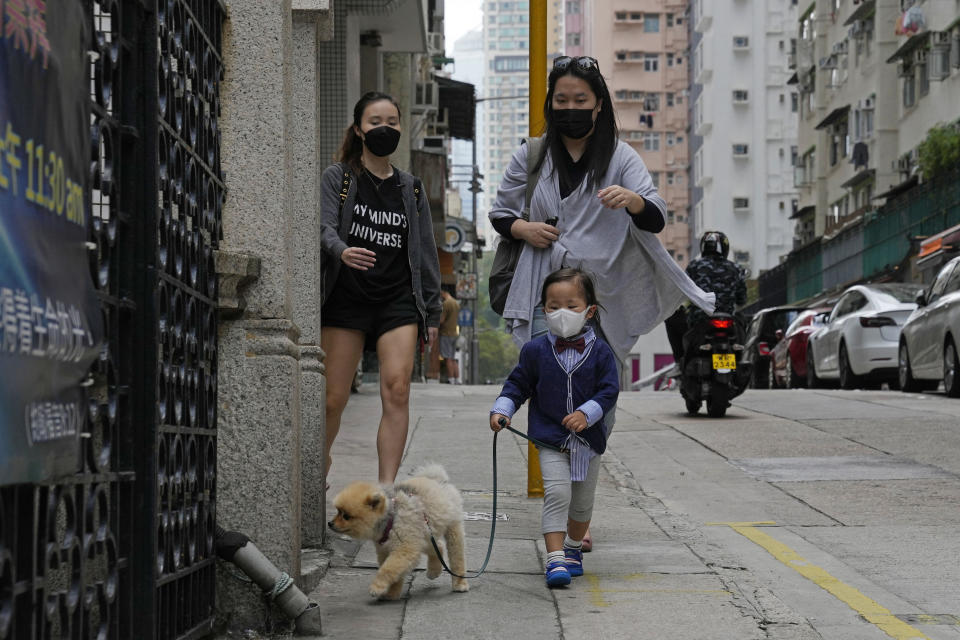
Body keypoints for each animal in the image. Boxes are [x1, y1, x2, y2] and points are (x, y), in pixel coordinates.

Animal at [328, 462, 470, 596]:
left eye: (346, 516)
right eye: (338, 511)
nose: (330, 523)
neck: (391, 519)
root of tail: (437, 479)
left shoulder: (404, 548)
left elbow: (387, 569)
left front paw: (377, 587)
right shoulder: (387, 549)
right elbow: (394, 573)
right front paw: (392, 594)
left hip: (451, 529)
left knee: (456, 557)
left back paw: (460, 584)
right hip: (425, 535)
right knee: (438, 545)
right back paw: (434, 571)